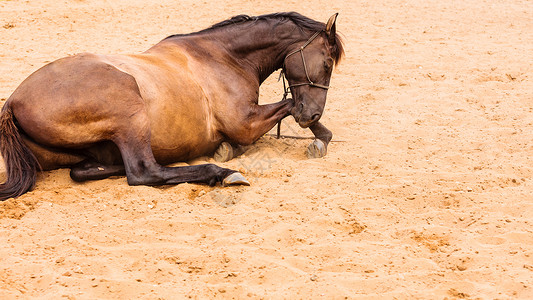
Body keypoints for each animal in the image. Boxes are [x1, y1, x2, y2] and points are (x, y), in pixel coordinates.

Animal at [0, 11, 344, 200]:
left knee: (85, 170)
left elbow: (288, 108)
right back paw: (221, 173)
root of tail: (13, 103)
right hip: (130, 111)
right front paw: (319, 136)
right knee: (143, 172)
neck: (223, 56)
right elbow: (288, 104)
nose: (313, 112)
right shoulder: (244, 124)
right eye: (327, 64)